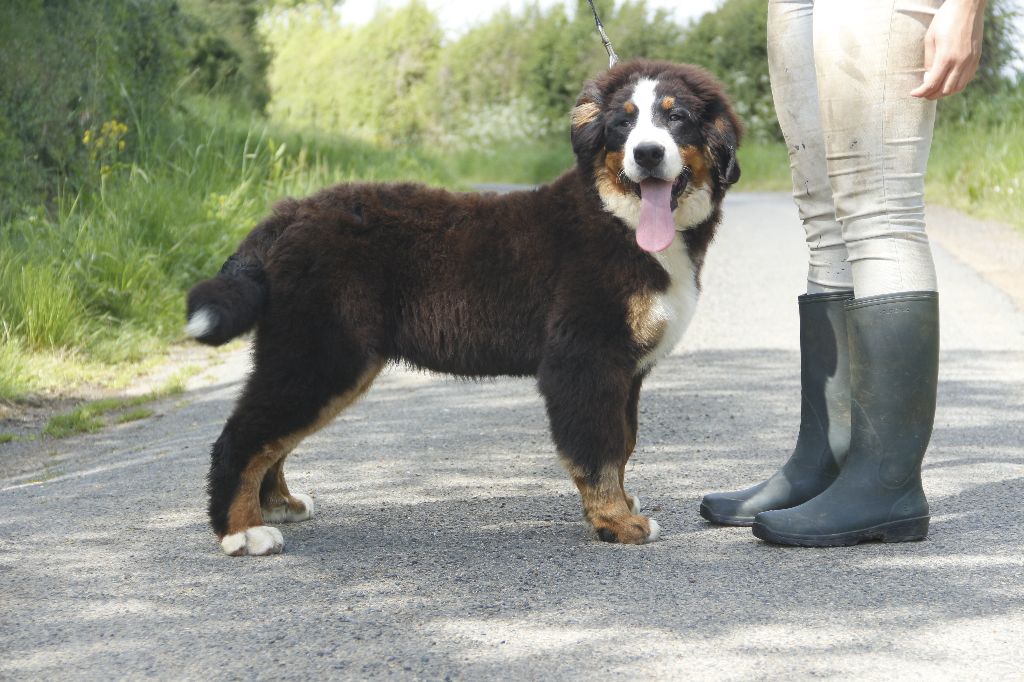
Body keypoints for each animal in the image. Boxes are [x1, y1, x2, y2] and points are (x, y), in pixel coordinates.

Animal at [186, 59, 741, 556]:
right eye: (623, 123)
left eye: (676, 117)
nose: (646, 153)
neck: (617, 219)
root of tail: (290, 212)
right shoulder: (585, 359)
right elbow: (599, 450)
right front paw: (617, 523)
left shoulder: (625, 371)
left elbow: (622, 445)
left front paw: (621, 505)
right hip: (320, 354)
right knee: (244, 436)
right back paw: (243, 533)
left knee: (271, 439)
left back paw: (277, 505)